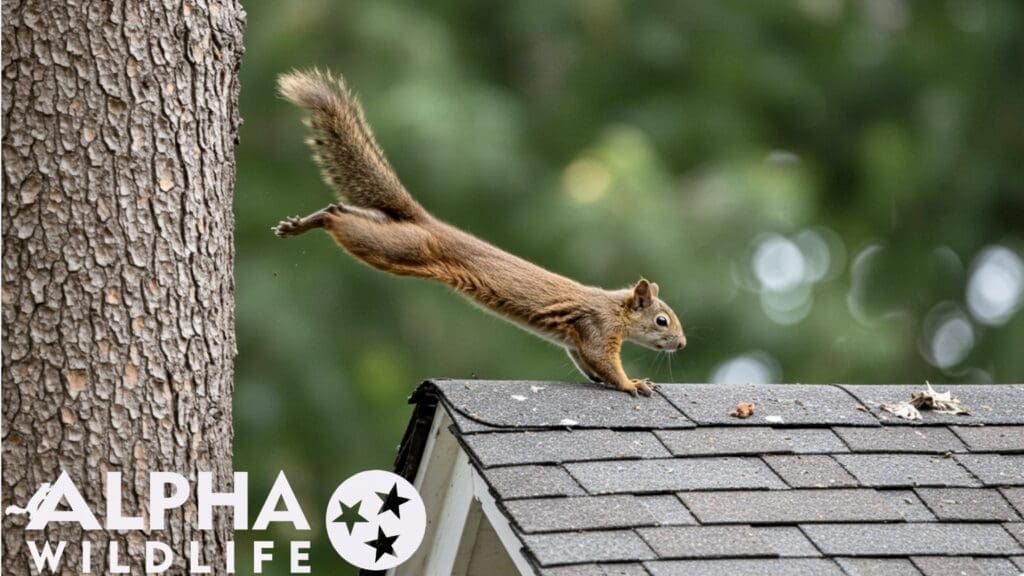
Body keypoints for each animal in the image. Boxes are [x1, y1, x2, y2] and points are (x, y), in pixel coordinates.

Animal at [273, 70, 686, 396]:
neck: (615, 307)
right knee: (343, 221)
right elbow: (603, 360)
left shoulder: (576, 341)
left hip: (393, 236)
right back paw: (315, 222)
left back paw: (303, 222)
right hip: (403, 249)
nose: (681, 344)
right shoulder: (599, 328)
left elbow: (586, 362)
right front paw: (633, 384)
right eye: (662, 321)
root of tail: (428, 221)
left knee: (344, 210)